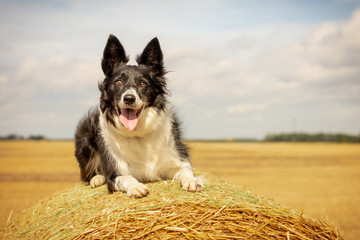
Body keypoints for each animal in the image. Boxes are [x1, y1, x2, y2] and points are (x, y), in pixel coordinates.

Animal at [74, 34, 202, 199]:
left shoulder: (177, 159)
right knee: (89, 174)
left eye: (143, 84)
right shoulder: (115, 173)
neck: (137, 133)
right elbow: (126, 178)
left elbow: (186, 170)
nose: (129, 98)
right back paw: (97, 178)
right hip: (85, 138)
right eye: (118, 82)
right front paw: (135, 186)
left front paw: (192, 180)